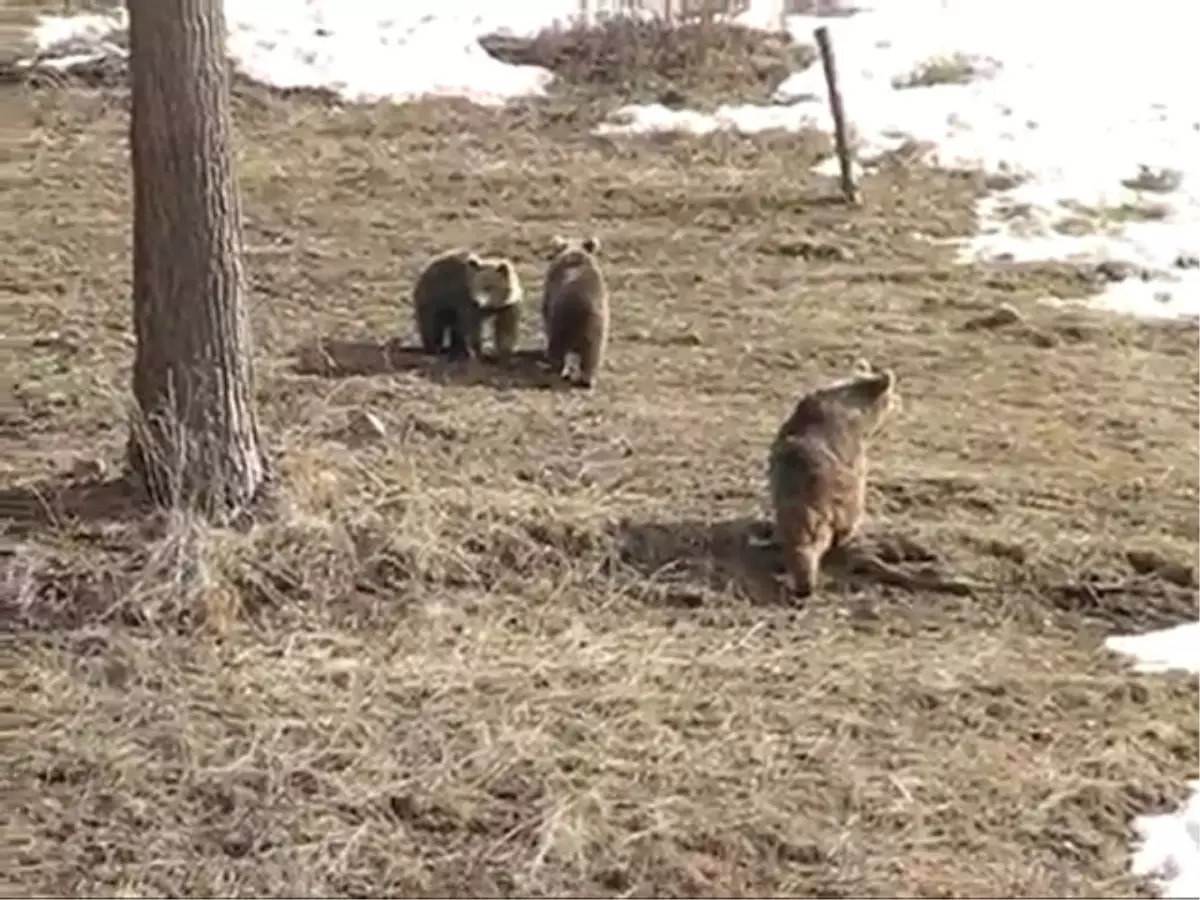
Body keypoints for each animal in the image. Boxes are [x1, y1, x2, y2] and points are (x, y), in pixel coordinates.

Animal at [542, 236, 609, 388]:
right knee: (593, 356)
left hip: (562, 323)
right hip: (596, 328)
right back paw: (588, 379)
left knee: (558, 350)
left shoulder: (550, 288)